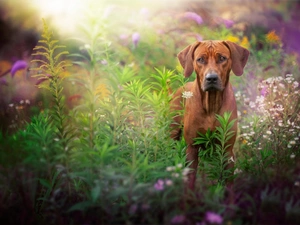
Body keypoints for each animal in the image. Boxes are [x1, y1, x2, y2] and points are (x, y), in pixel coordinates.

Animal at [170, 40, 250, 190]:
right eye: (200, 59)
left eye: (222, 58)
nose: (211, 78)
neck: (211, 104)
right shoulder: (192, 147)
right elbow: (190, 178)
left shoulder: (227, 150)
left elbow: (228, 181)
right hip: (172, 133)